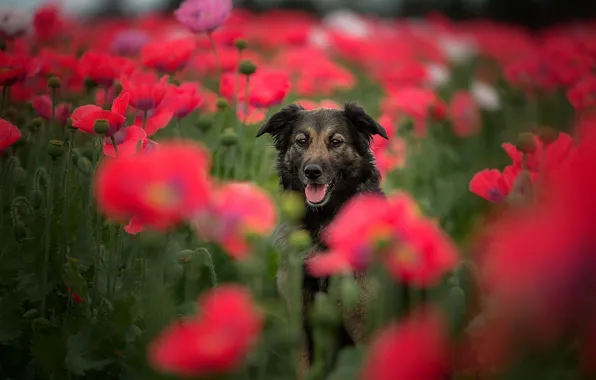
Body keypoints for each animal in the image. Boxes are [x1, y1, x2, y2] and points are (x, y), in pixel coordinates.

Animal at [255, 100, 386, 374]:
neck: (323, 224)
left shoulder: (366, 327)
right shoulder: (300, 325)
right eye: (301, 141)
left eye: (335, 142)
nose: (312, 172)